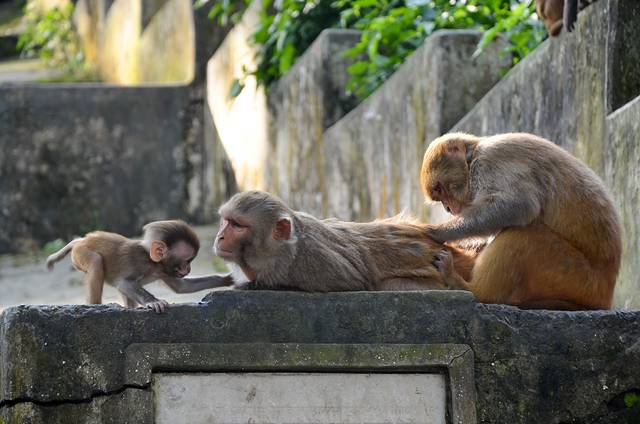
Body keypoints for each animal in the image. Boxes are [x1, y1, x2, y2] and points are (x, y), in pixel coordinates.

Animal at [46, 220, 232, 313]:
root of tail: (83, 239)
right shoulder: (140, 264)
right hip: (80, 253)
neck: (153, 263)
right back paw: (96, 306)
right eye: (186, 261)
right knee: (97, 261)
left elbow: (182, 287)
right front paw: (154, 302)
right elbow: (124, 283)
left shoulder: (164, 271)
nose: (188, 269)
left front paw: (227, 279)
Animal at [421, 132, 621, 310]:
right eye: (438, 197)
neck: (473, 156)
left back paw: (471, 289)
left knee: (526, 234)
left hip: (578, 277)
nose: (447, 208)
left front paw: (437, 231)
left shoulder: (490, 162)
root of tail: (606, 294)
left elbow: (519, 205)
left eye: (439, 189)